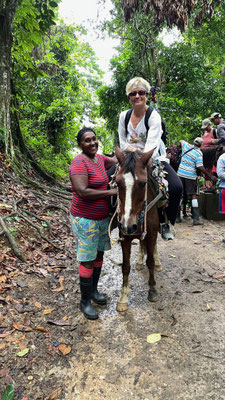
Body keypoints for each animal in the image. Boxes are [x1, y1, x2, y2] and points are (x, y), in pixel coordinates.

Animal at [115, 148, 159, 312]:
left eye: (143, 183)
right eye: (117, 182)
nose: (128, 226)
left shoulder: (151, 233)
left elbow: (150, 261)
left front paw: (152, 289)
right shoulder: (124, 237)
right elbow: (125, 267)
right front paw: (123, 297)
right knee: (141, 243)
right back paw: (140, 260)